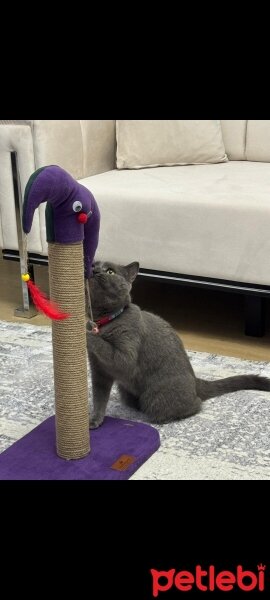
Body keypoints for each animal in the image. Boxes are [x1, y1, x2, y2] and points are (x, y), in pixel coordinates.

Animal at [86, 262, 270, 426]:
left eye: (110, 271)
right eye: (93, 264)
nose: (94, 270)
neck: (105, 321)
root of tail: (195, 381)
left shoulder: (126, 352)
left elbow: (111, 352)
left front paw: (86, 333)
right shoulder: (98, 371)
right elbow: (99, 398)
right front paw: (94, 421)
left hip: (156, 398)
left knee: (192, 405)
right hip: (126, 391)